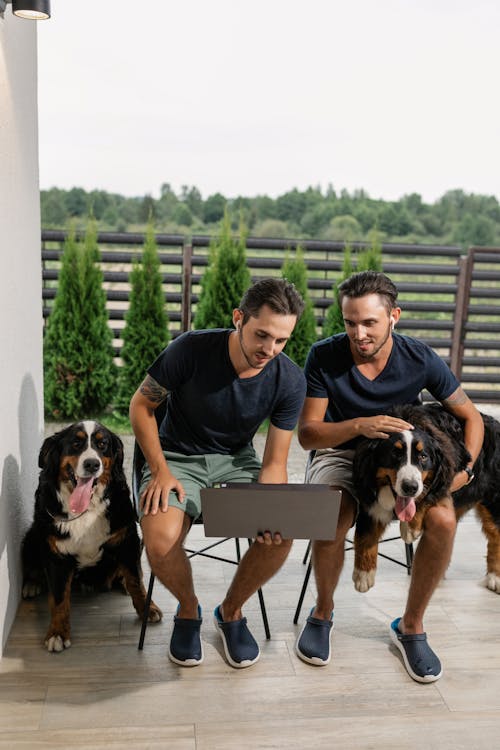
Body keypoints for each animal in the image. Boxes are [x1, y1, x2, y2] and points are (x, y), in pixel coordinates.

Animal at [22, 424, 162, 652]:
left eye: (102, 444)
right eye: (76, 443)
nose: (92, 464)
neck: (85, 509)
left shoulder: (127, 539)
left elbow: (135, 580)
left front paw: (146, 608)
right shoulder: (55, 554)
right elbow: (59, 598)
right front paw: (57, 633)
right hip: (32, 536)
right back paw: (32, 584)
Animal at [352, 406, 500, 600]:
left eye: (423, 456)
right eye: (394, 454)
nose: (410, 487)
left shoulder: (445, 477)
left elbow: (426, 495)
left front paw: (409, 527)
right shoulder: (368, 495)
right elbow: (365, 535)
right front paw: (363, 574)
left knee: (496, 534)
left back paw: (495, 577)